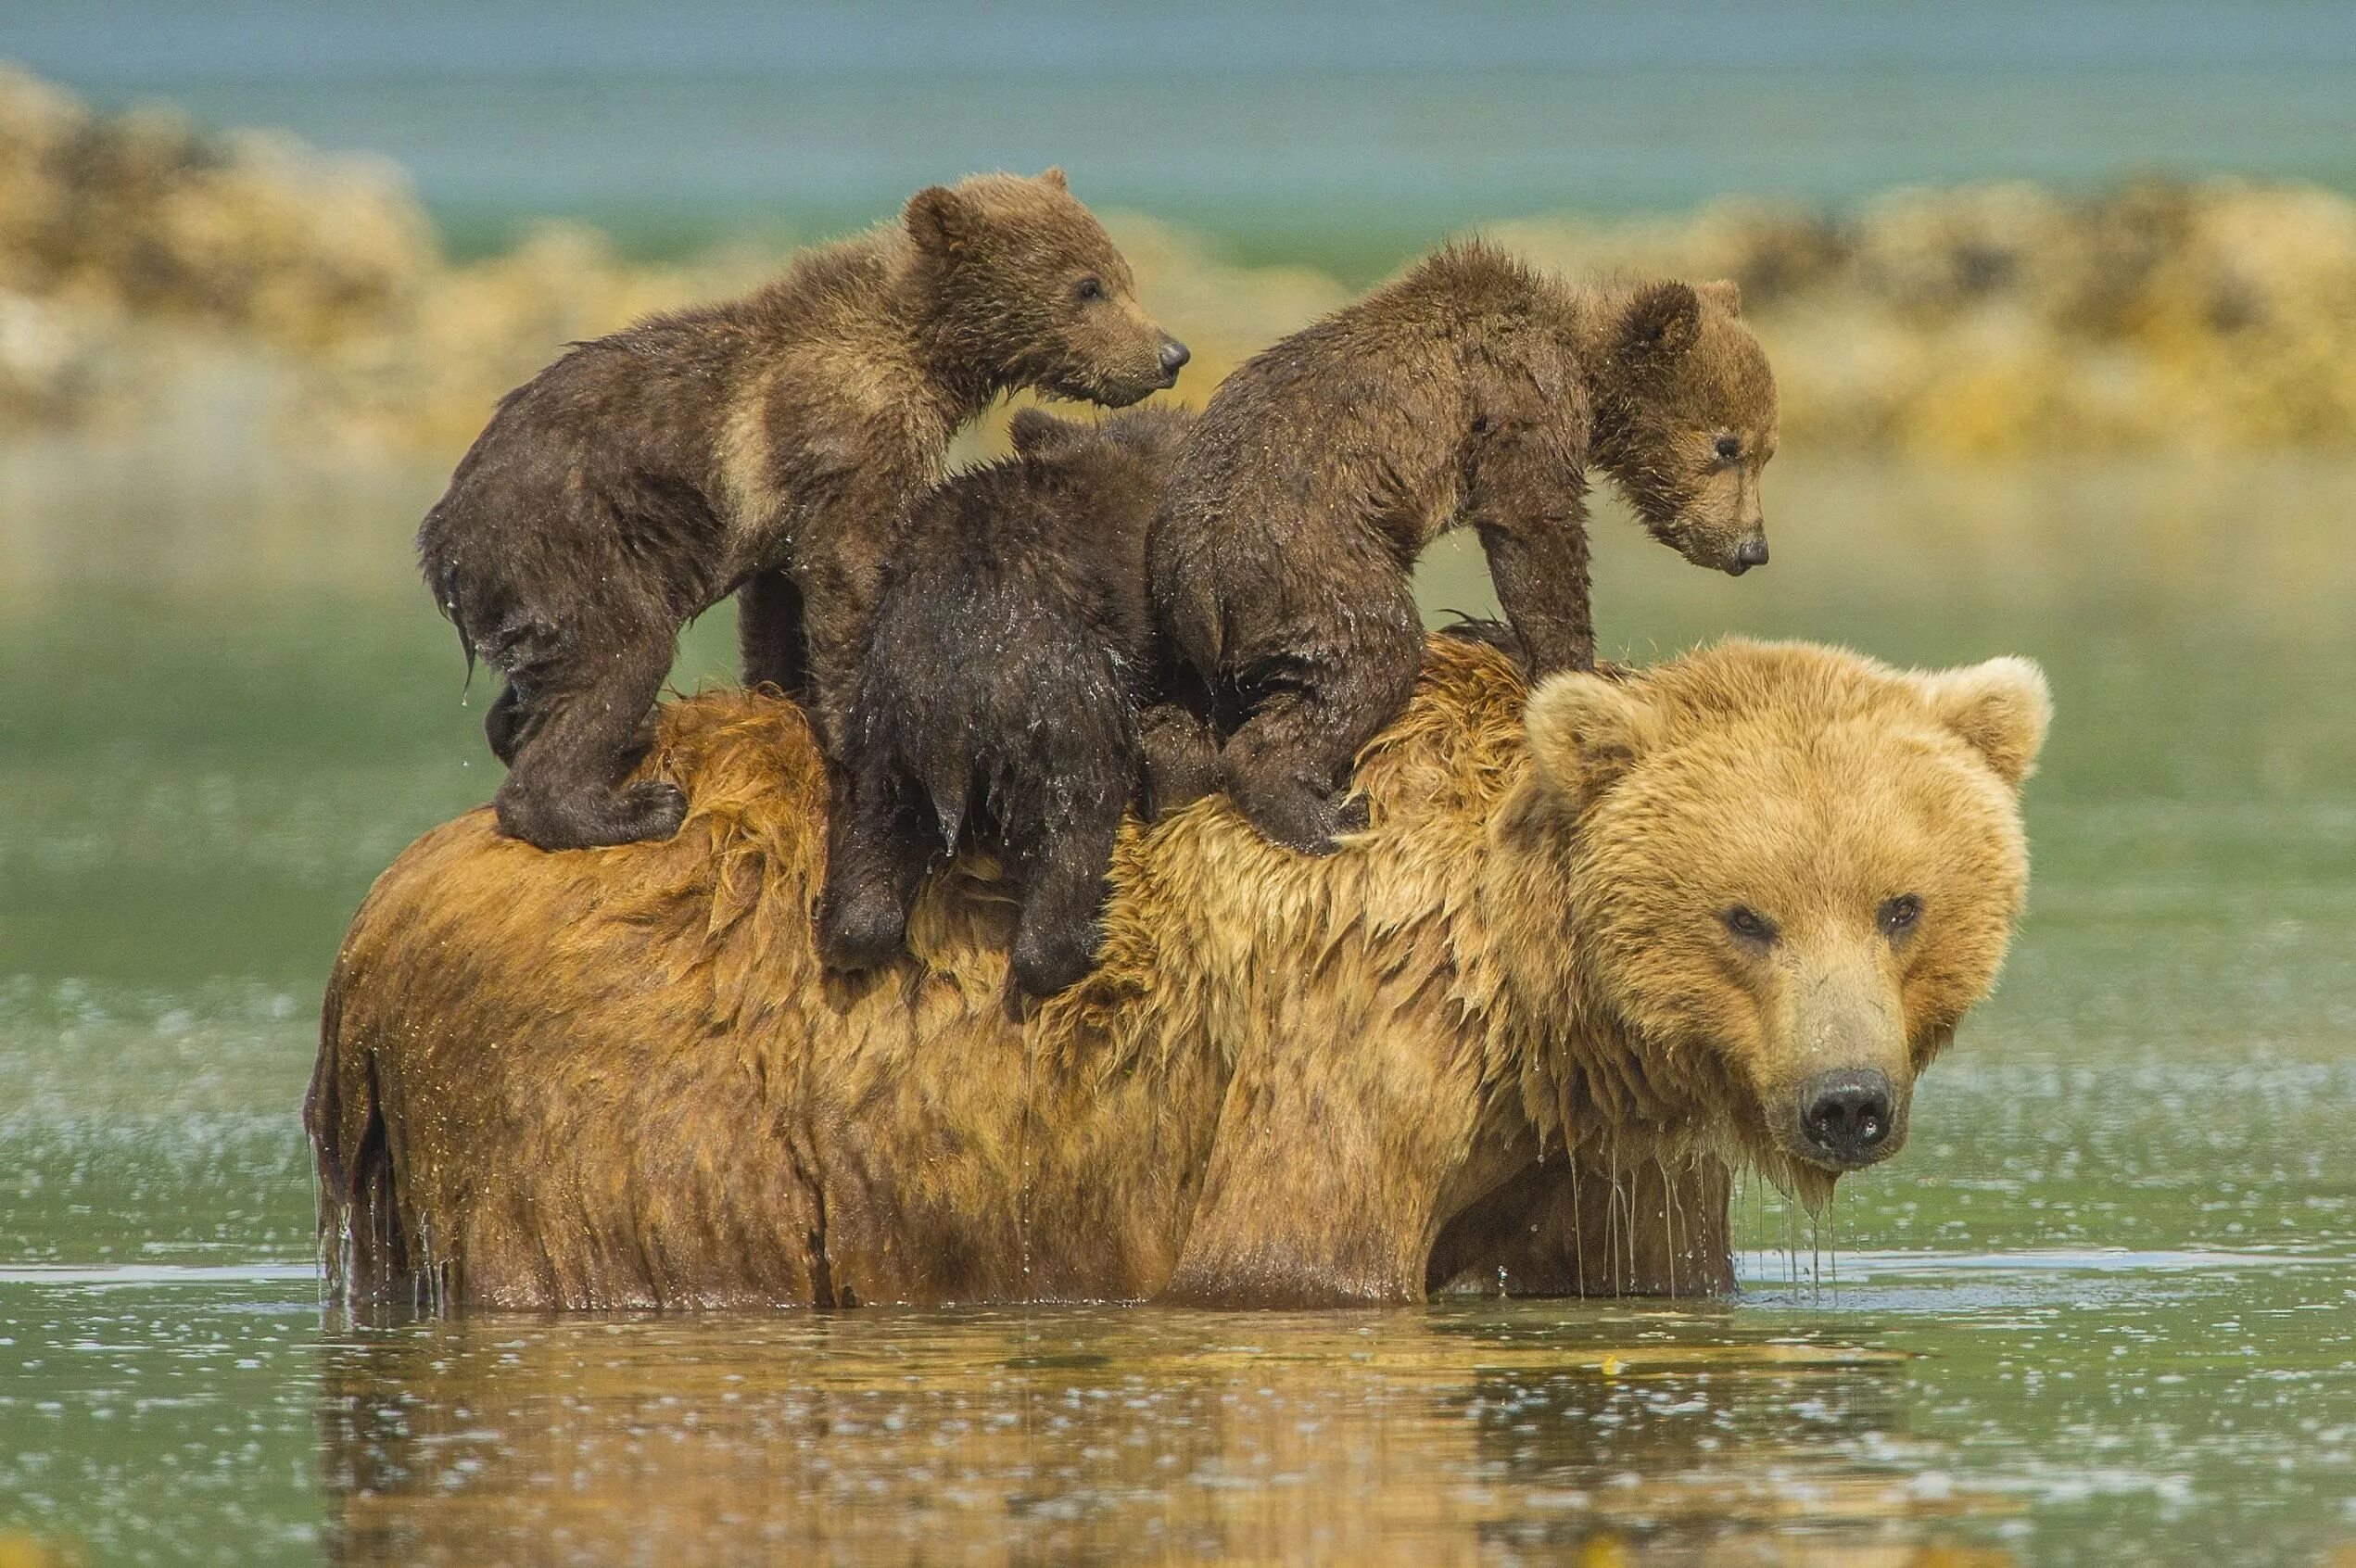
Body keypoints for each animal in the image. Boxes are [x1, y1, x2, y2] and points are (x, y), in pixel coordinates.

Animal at [309, 635, 2045, 1309]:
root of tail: (383, 907)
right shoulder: (1347, 1051)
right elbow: (1288, 1263)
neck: (1532, 992)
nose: (1841, 1101)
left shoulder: (1603, 1155)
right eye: (1743, 915)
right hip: (630, 1090)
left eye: (1899, 903)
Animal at [414, 166, 1187, 847]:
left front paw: (784, 695)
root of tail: (442, 537)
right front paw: (855, 730)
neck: (926, 354)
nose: (1171, 353)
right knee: (622, 656)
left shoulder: (787, 508)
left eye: (1120, 273)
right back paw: (624, 806)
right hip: (571, 543)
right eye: (1087, 286)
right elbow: (849, 570)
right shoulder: (850, 439)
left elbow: (778, 602)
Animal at [815, 402, 1215, 989]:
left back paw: (853, 932)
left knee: (874, 838)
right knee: (1078, 818)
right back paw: (1083, 943)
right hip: (1062, 701)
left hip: (888, 721)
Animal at [1149, 242, 1771, 847]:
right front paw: (1576, 670)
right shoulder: (1520, 405)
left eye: (1765, 451)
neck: (1585, 371)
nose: (1753, 549)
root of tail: (1193, 579)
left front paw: (1504, 639)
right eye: (1727, 446)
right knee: (1371, 654)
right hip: (1307, 558)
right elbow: (1533, 529)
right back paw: (1323, 815)